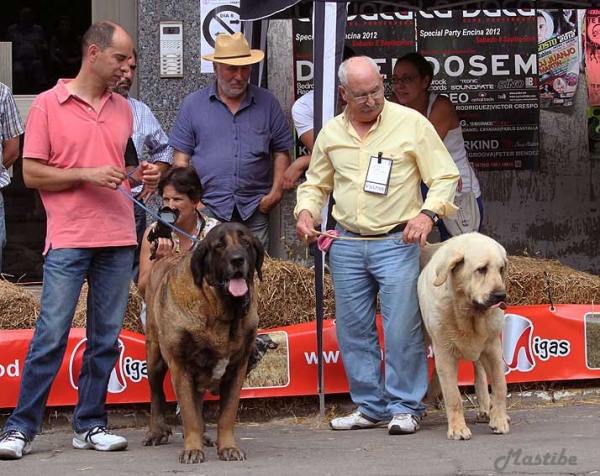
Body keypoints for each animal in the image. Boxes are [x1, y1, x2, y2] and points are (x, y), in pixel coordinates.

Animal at [142, 222, 264, 462]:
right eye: (219, 246)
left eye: (245, 242)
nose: (237, 259)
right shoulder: (181, 367)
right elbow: (189, 413)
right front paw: (192, 450)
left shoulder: (237, 370)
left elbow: (226, 415)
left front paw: (228, 448)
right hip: (155, 358)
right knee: (157, 394)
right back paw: (156, 432)